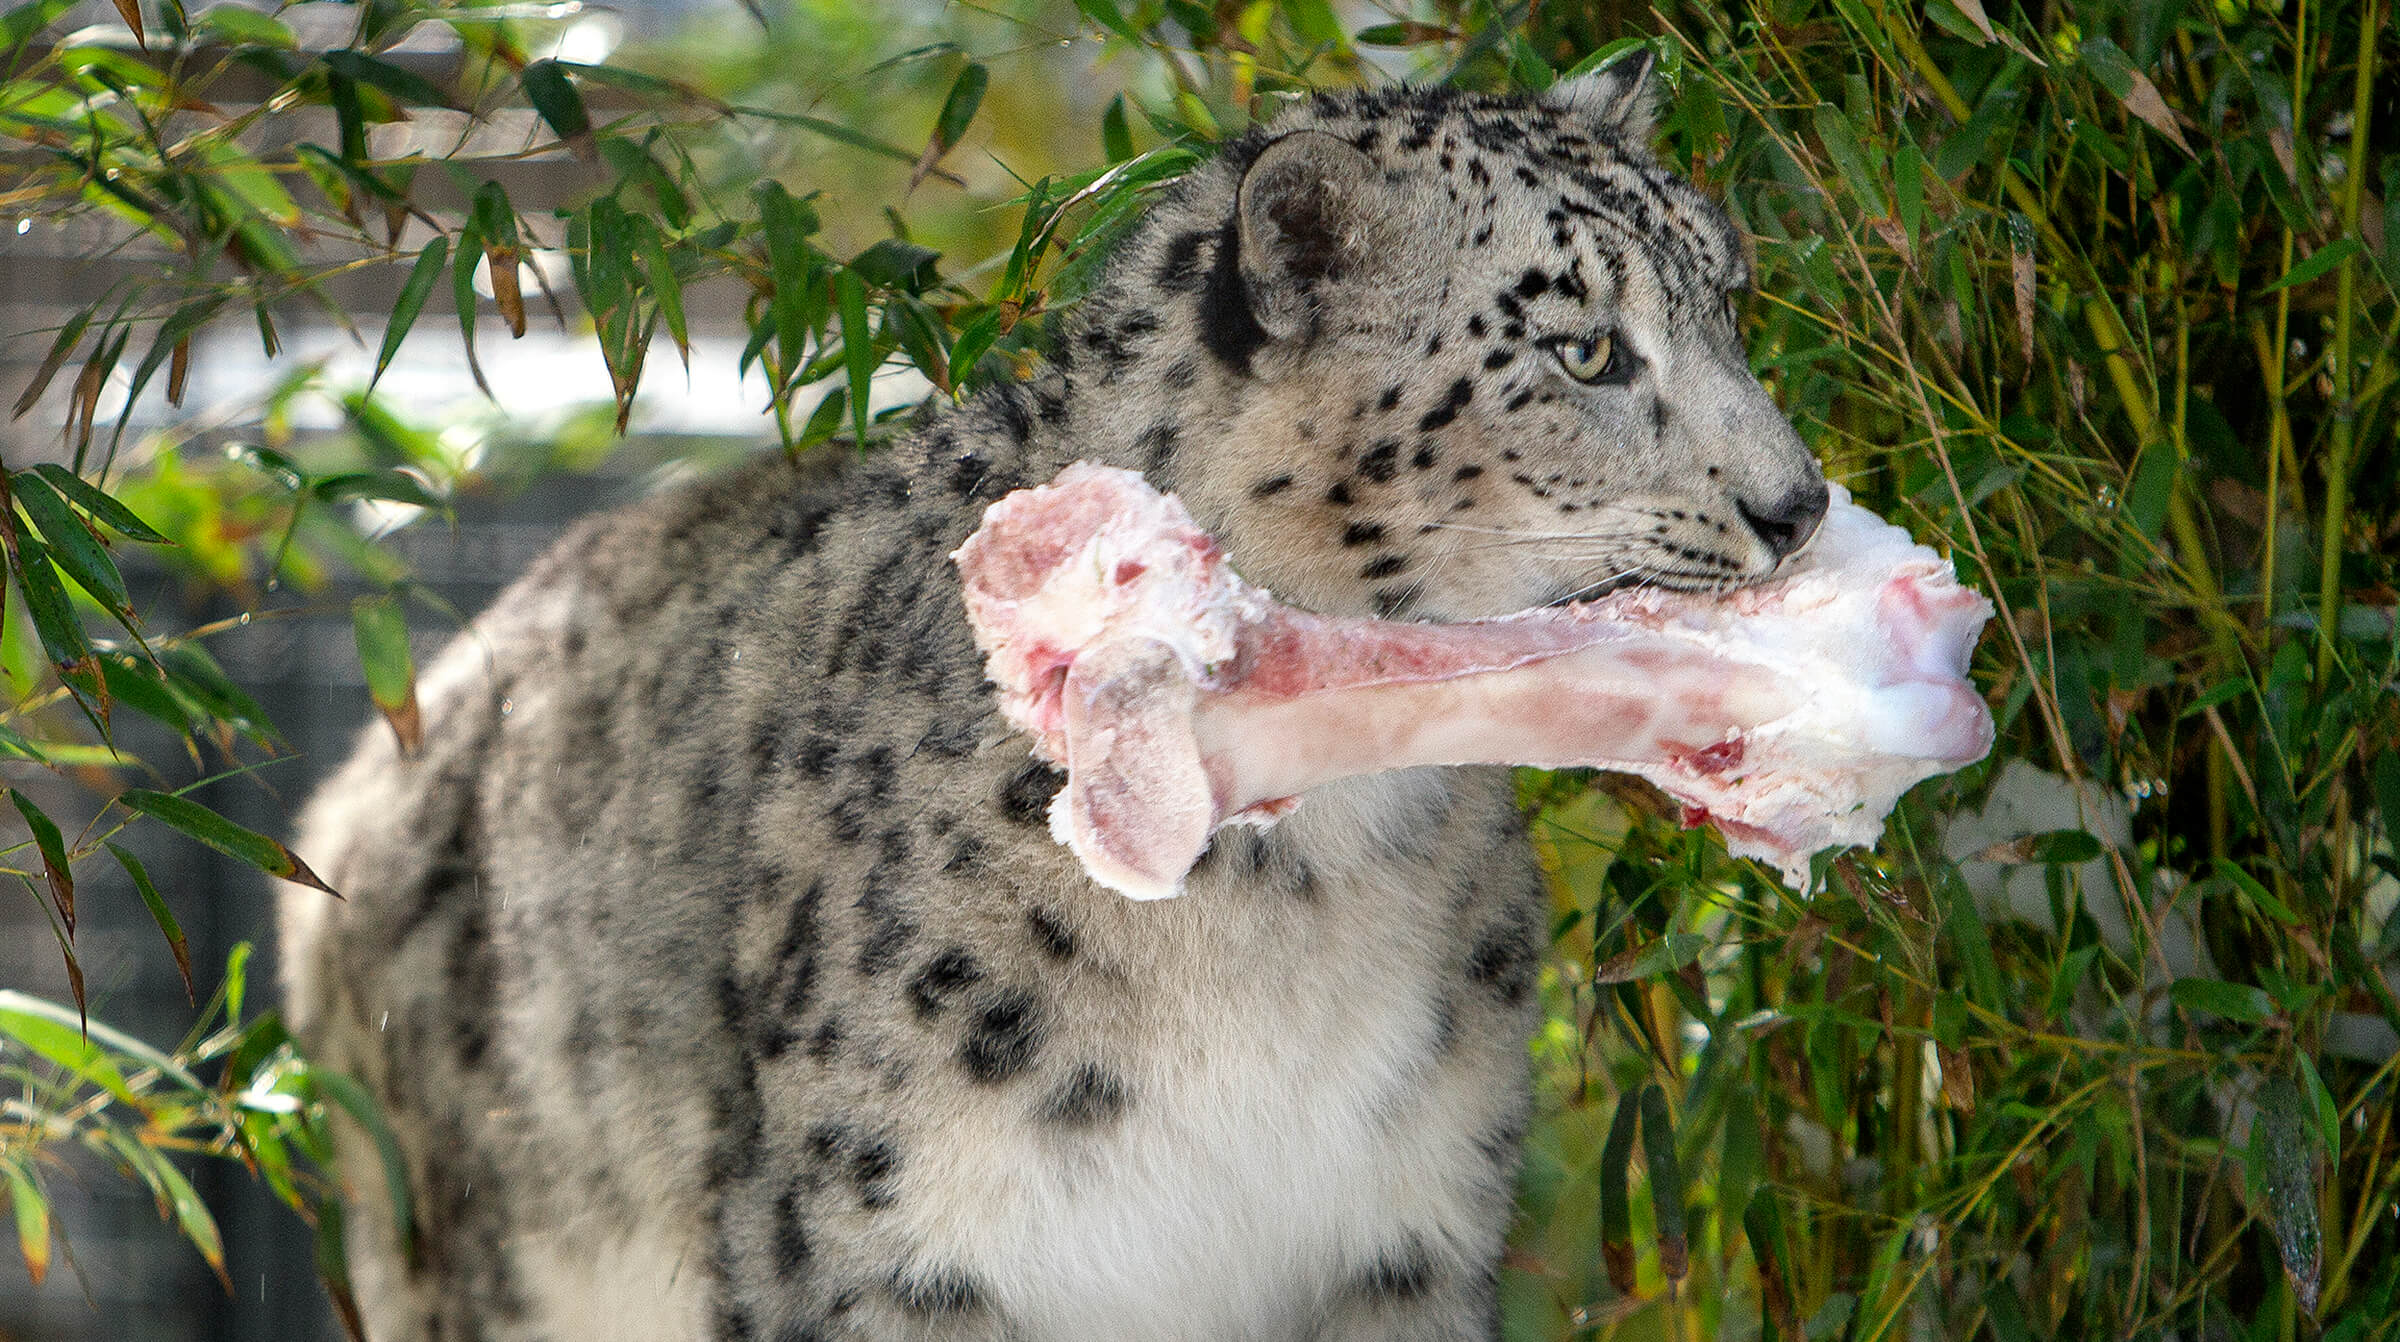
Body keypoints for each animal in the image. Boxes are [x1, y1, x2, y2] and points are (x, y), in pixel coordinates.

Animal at [276, 57, 1814, 1342]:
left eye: (1731, 300)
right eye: (1583, 349)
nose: (1799, 505)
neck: (1302, 878)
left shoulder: (1408, 1231)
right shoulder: (892, 1241)